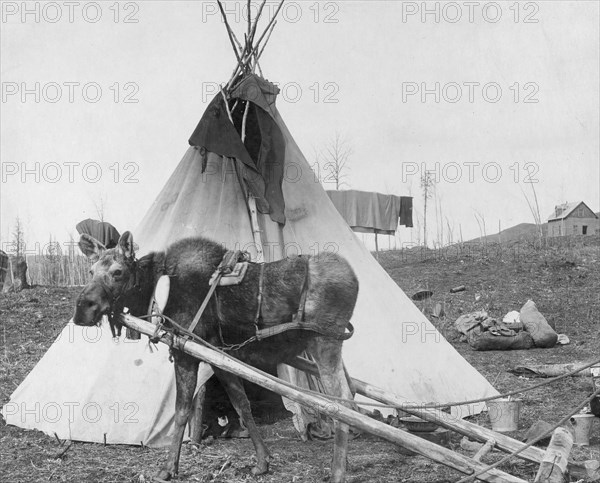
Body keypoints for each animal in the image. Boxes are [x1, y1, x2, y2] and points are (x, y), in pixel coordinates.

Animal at [72, 233, 358, 482]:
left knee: (340, 402)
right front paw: (263, 462)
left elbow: (182, 411)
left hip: (324, 342)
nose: (82, 310)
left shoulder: (185, 354)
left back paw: (337, 472)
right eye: (90, 271)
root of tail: (354, 280)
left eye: (117, 272)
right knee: (351, 395)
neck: (155, 294)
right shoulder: (220, 356)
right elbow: (242, 404)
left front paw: (168, 468)